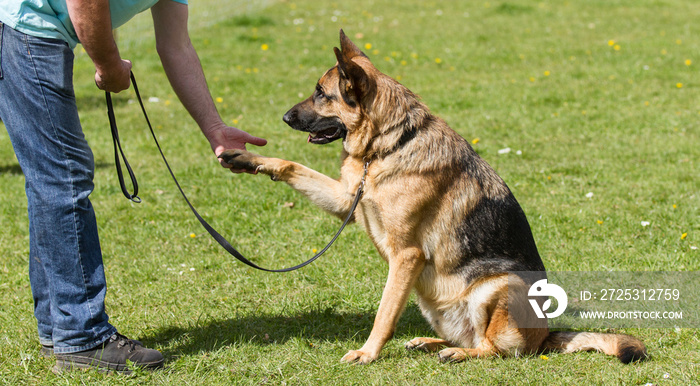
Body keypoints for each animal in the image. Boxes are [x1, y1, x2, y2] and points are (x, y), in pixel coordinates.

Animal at [221, 30, 648, 364]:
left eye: (320, 94)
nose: (285, 118)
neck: (388, 144)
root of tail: (547, 335)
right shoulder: (348, 201)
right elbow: (292, 166)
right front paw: (247, 158)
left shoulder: (406, 256)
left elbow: (384, 313)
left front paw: (367, 353)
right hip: (431, 299)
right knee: (470, 335)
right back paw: (431, 343)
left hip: (498, 285)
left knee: (496, 349)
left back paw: (458, 353)